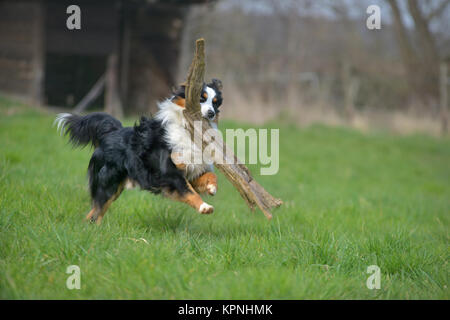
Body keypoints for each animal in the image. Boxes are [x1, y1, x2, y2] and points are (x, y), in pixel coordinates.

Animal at [55, 79, 224, 224]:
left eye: (215, 103)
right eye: (201, 99)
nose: (211, 113)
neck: (189, 130)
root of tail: (110, 133)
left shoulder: (191, 171)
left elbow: (210, 176)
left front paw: (212, 188)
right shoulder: (170, 174)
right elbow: (188, 191)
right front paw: (204, 207)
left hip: (115, 188)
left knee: (95, 213)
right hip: (108, 184)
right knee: (96, 209)